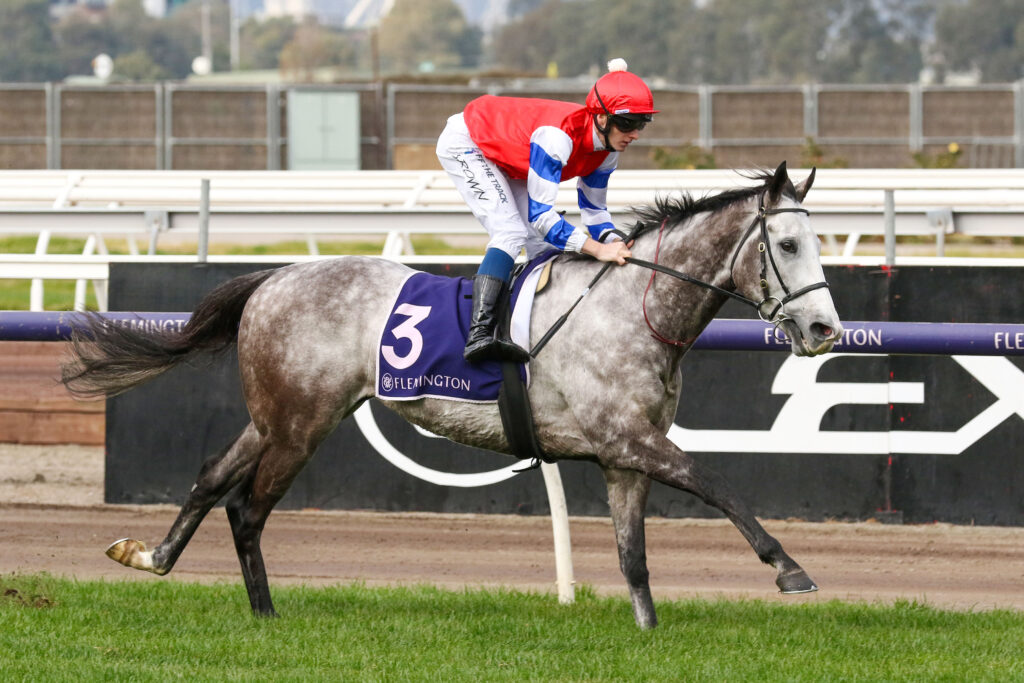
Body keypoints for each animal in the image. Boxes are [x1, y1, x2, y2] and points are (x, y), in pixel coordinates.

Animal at [62, 161, 842, 629]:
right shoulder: (629, 438)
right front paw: (790, 569)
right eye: (788, 245)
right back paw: (266, 615)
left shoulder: (623, 457)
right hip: (301, 424)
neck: (633, 308)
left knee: (210, 480)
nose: (825, 329)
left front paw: (649, 633)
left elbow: (634, 556)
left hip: (277, 416)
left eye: (817, 242)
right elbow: (719, 483)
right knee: (247, 507)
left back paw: (154, 558)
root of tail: (272, 278)